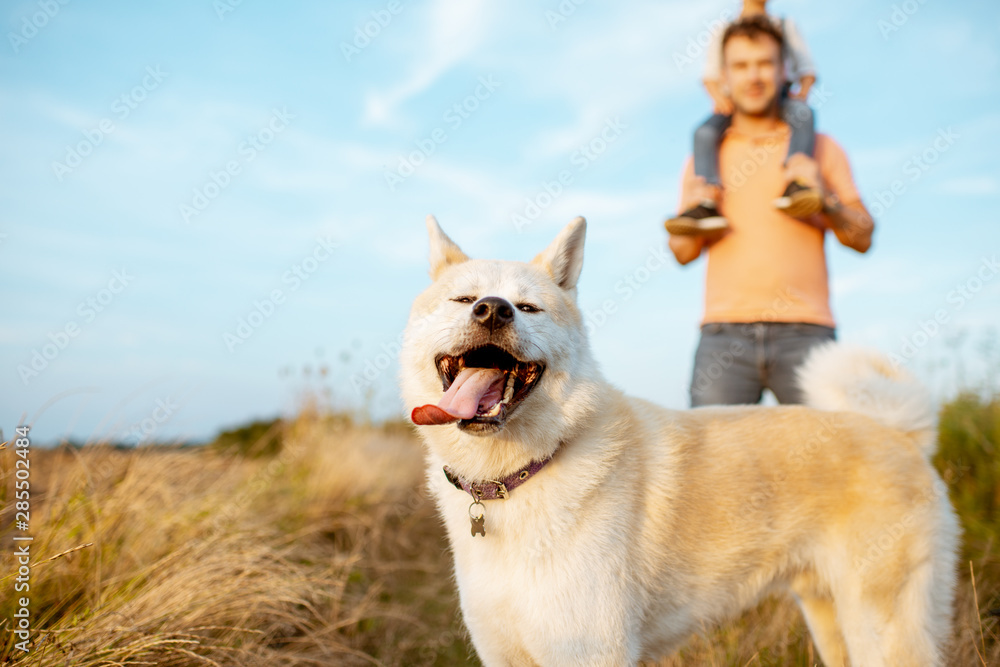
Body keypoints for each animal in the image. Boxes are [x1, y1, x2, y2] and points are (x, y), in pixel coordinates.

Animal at [398, 217, 960, 664]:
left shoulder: (590, 654)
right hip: (831, 622)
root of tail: (901, 433)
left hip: (881, 631)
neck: (513, 477)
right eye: (464, 299)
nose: (494, 310)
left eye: (528, 307)